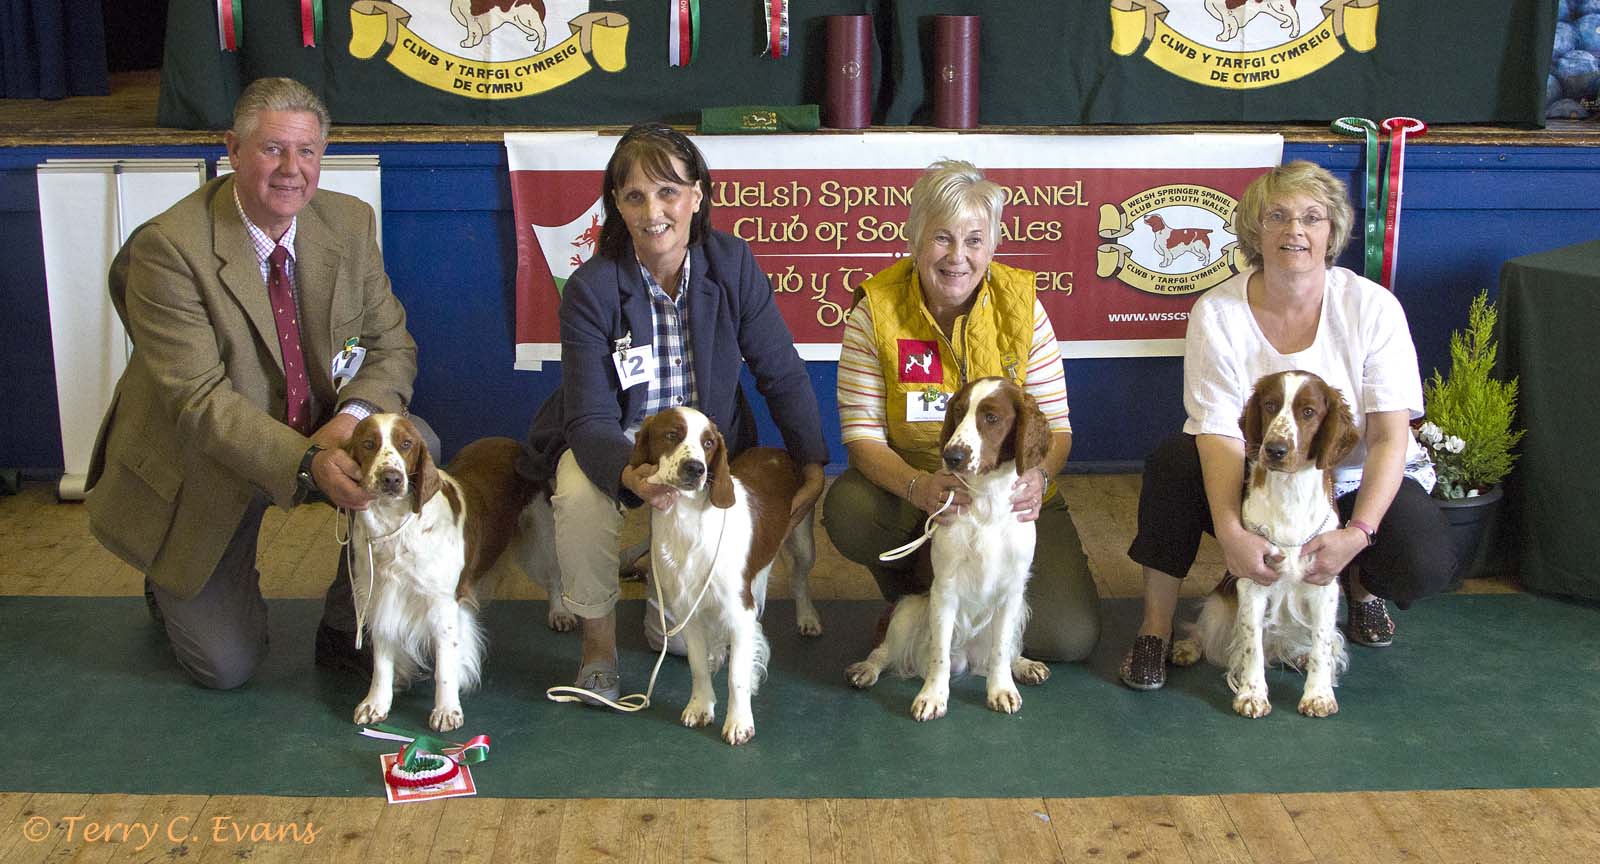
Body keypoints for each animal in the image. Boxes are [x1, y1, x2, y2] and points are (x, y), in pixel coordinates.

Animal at [344, 414, 567, 732]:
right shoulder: (380, 598)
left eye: (406, 444)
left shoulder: (442, 605)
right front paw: (375, 704)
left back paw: (560, 613)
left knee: (554, 576)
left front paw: (447, 710)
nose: (391, 478)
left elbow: (445, 665)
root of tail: (514, 442)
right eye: (368, 443)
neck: (397, 526)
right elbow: (383, 661)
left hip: (541, 537)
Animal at [629, 407, 821, 745]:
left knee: (799, 580)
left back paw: (807, 619)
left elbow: (736, 677)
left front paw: (739, 723)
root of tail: (775, 449)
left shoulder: (739, 611)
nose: (695, 468)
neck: (687, 521)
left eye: (708, 443)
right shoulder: (687, 611)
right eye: (672, 434)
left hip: (802, 539)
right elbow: (697, 666)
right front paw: (700, 706)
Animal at [846, 377, 1052, 720]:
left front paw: (1002, 690)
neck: (987, 500)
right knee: (886, 650)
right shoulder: (945, 587)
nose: (952, 455)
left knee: (1003, 652)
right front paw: (932, 697)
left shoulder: (1012, 591)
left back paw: (1025, 666)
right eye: (957, 411)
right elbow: (939, 654)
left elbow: (1000, 650)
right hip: (909, 608)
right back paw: (866, 669)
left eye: (992, 418)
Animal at [1171, 370, 1359, 718]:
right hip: (1219, 606)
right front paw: (1252, 695)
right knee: (1207, 633)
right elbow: (1251, 645)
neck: (1290, 492)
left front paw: (1318, 695)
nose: (1275, 449)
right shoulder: (1252, 581)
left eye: (1308, 411)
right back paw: (1187, 647)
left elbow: (1322, 644)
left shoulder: (1324, 585)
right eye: (1270, 405)